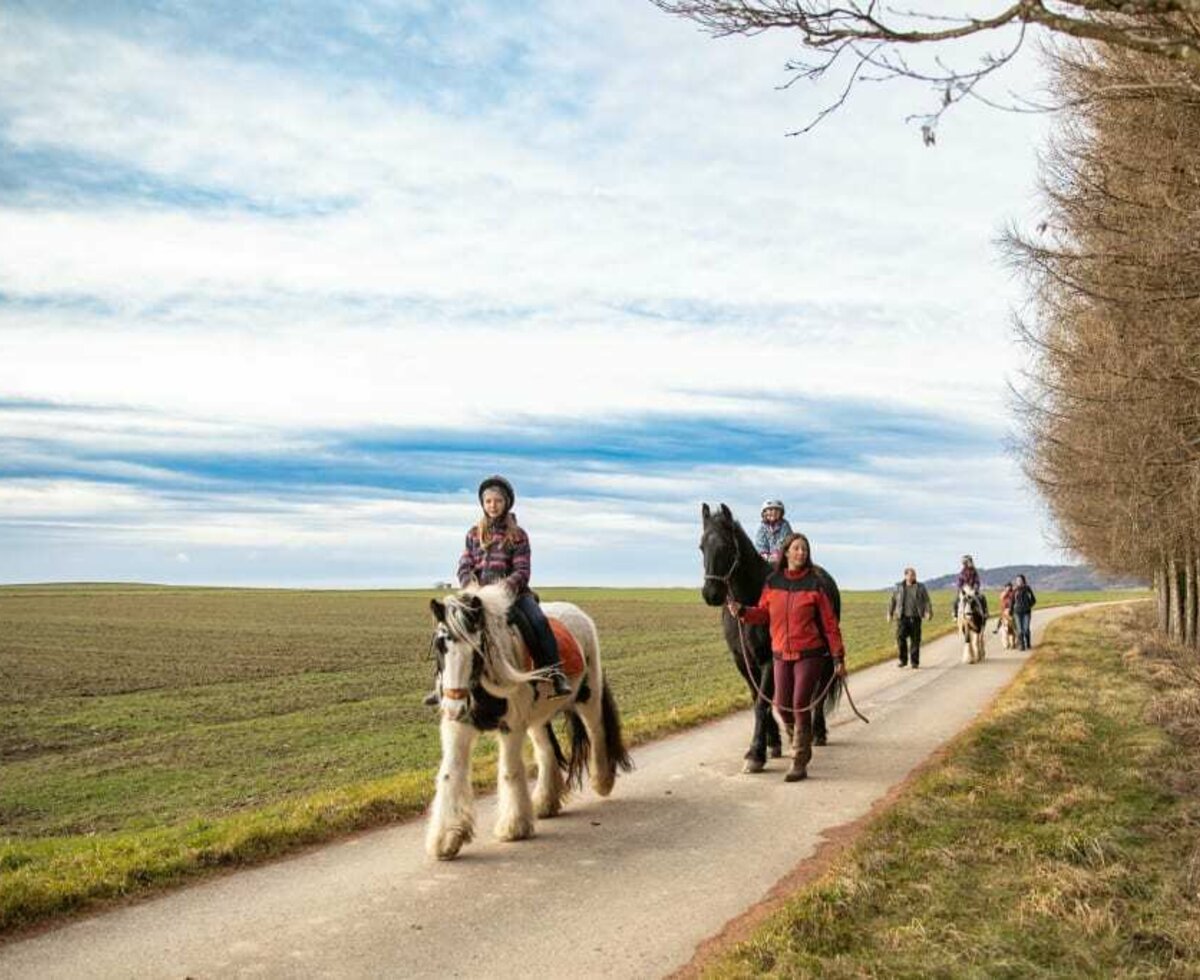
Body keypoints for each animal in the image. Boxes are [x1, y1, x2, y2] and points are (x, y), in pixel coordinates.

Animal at [696, 503, 844, 772]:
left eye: (726, 546)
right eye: (702, 546)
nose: (711, 594)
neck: (752, 599)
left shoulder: (769, 660)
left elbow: (762, 705)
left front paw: (755, 754)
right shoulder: (743, 661)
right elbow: (759, 698)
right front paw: (772, 743)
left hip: (826, 654)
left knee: (818, 691)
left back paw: (818, 732)